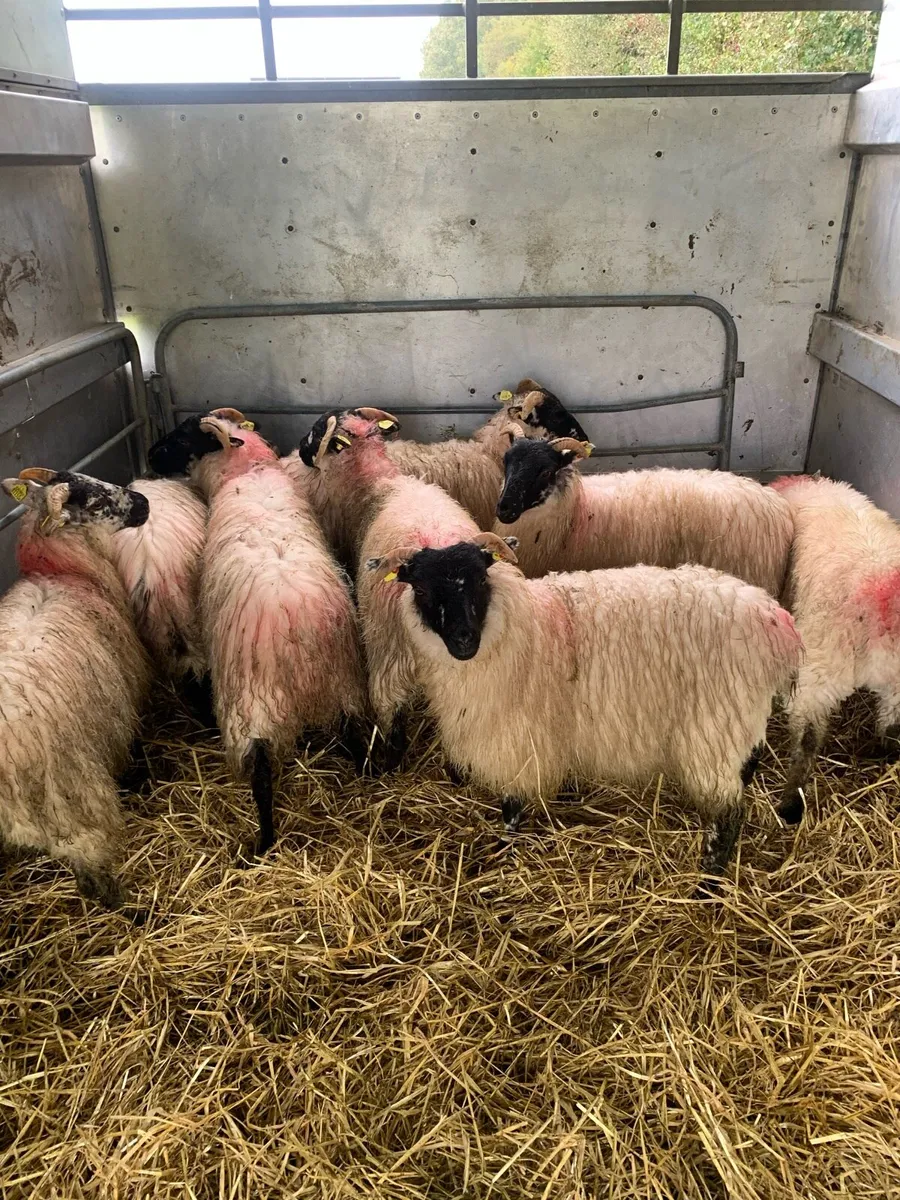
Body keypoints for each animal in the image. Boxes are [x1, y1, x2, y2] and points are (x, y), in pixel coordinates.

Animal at [0, 468, 152, 910]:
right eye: (96, 504)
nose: (144, 503)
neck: (62, 570)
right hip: (72, 804)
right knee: (93, 873)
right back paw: (127, 911)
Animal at [184, 413, 368, 853]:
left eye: (185, 438)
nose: (150, 456)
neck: (251, 471)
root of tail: (300, 629)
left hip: (251, 705)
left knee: (262, 776)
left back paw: (261, 844)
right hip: (344, 682)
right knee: (357, 737)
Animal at [365, 533, 802, 891]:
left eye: (480, 579)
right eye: (421, 588)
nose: (464, 640)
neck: (519, 627)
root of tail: (776, 622)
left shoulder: (518, 740)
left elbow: (512, 807)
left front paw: (505, 850)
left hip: (716, 728)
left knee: (729, 816)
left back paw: (708, 884)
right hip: (737, 725)